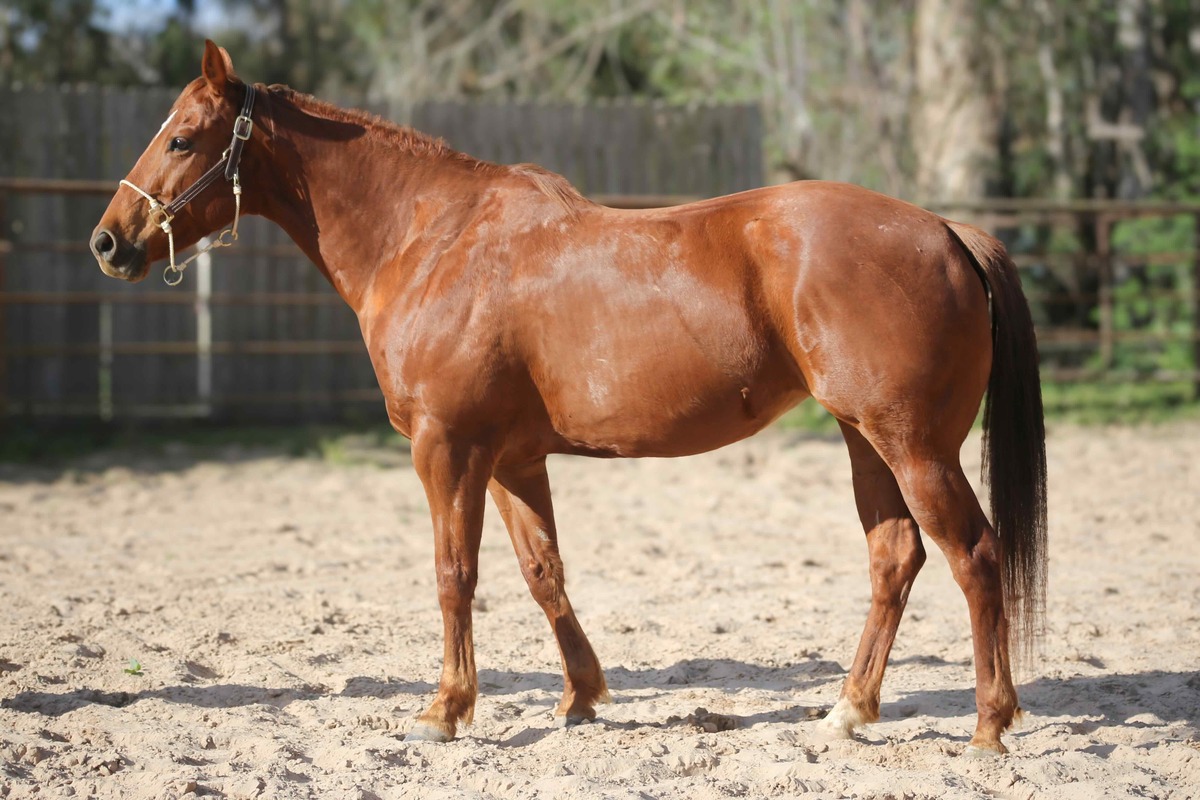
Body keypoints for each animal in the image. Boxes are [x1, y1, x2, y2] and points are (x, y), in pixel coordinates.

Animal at [90, 41, 1047, 755]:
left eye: (183, 140)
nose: (108, 242)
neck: (432, 239)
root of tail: (944, 230)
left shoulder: (447, 448)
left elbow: (454, 574)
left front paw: (445, 710)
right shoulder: (512, 458)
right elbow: (543, 572)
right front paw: (581, 697)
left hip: (912, 444)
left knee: (973, 553)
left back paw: (989, 723)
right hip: (862, 438)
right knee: (896, 556)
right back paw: (848, 709)